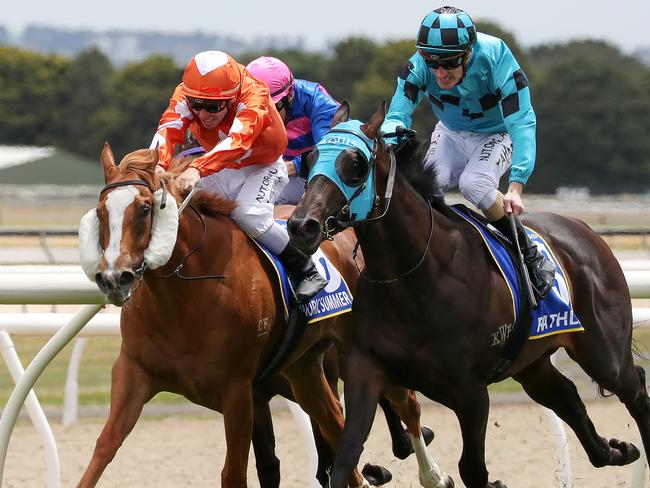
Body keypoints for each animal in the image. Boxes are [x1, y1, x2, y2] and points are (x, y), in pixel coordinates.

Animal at [76, 145, 430, 488]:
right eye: (101, 211)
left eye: (145, 209)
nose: (114, 278)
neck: (182, 295)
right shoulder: (133, 372)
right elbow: (104, 448)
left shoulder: (238, 391)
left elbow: (235, 474)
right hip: (305, 370)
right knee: (338, 430)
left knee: (406, 404)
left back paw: (432, 474)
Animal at [288, 101, 648, 486]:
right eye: (310, 158)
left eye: (355, 164)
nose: (301, 225)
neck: (414, 277)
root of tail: (587, 231)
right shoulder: (366, 370)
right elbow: (345, 456)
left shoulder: (471, 392)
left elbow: (472, 468)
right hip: (531, 363)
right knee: (568, 397)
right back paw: (616, 450)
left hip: (603, 353)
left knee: (636, 390)